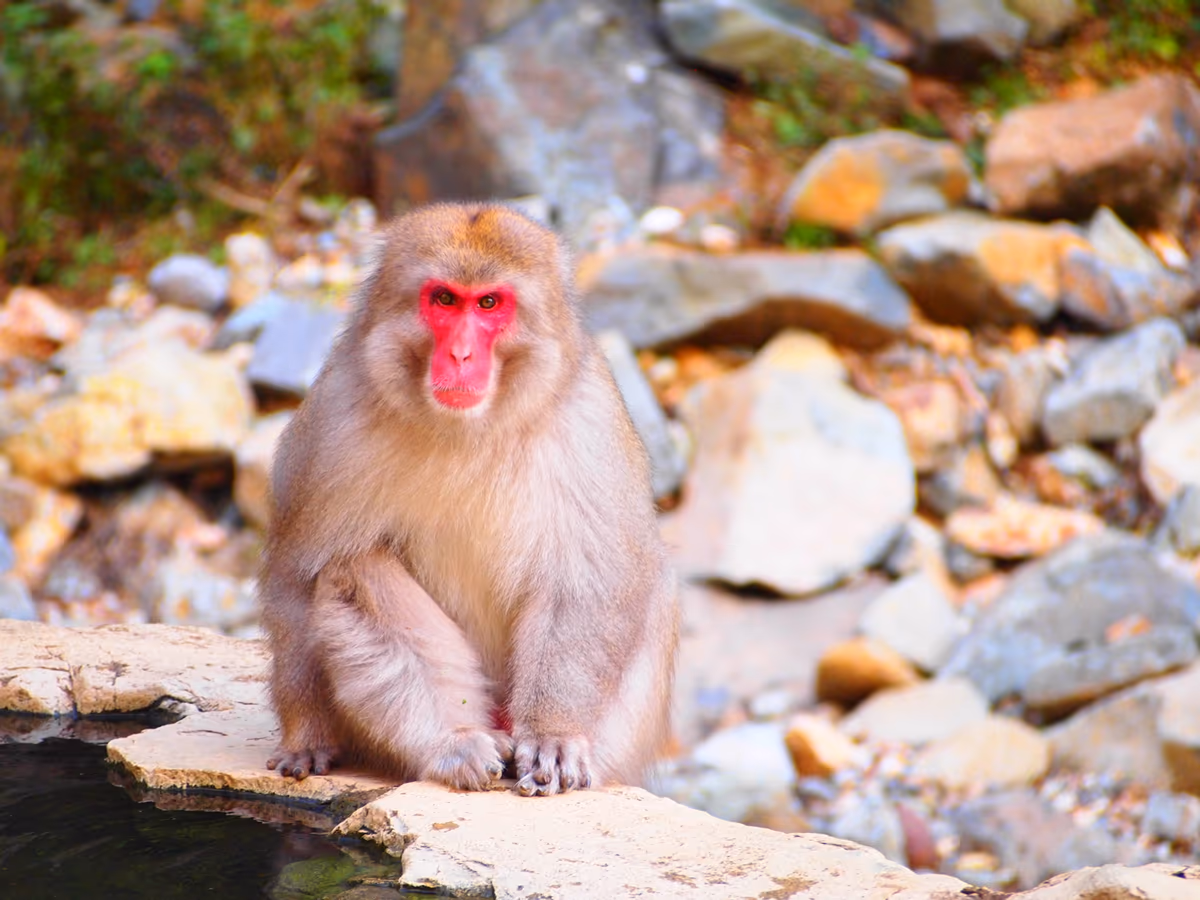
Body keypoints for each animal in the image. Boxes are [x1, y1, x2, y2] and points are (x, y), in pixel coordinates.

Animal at [259, 202, 678, 796]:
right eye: (443, 299)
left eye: (488, 303)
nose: (459, 354)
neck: (470, 428)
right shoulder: (334, 415)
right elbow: (296, 580)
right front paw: (310, 735)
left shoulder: (590, 418)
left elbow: (593, 579)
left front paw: (552, 734)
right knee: (352, 568)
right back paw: (459, 740)